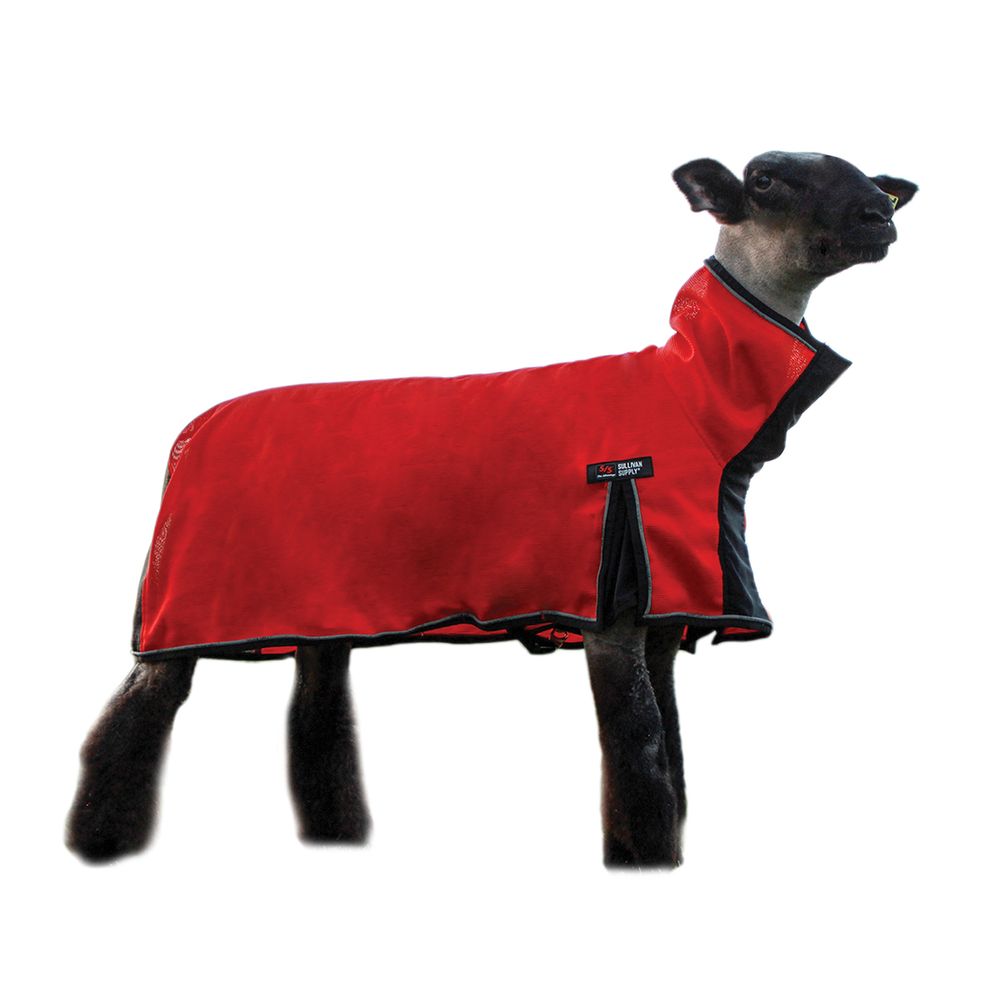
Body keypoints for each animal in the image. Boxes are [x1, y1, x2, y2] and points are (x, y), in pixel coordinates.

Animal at [66, 151, 917, 867]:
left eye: (869, 182)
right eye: (767, 179)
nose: (879, 215)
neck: (694, 397)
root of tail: (188, 436)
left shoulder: (668, 611)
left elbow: (671, 757)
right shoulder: (610, 604)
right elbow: (641, 758)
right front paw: (643, 862)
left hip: (318, 607)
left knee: (316, 718)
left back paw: (337, 838)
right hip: (185, 601)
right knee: (130, 720)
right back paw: (97, 845)